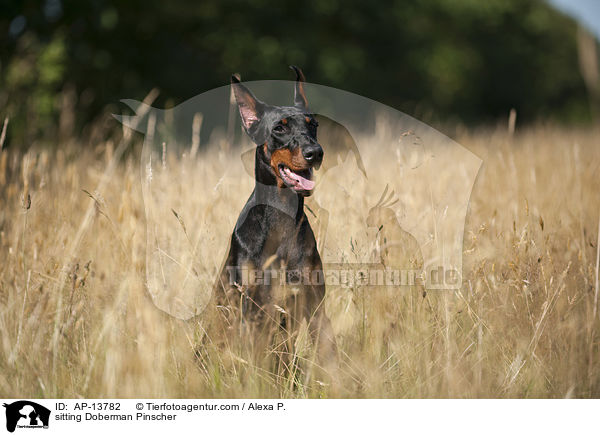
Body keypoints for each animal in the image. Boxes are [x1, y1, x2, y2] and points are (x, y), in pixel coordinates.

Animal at [216, 67, 338, 368]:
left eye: (313, 125)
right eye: (279, 128)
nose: (315, 153)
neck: (281, 215)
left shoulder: (314, 303)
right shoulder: (250, 306)